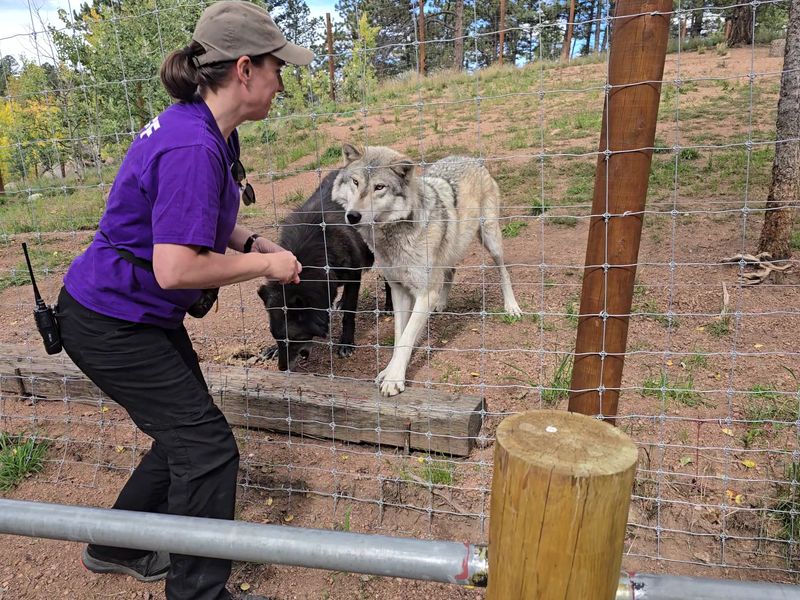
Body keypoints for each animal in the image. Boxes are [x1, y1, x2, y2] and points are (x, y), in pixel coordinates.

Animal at [258, 170, 387, 371]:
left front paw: (346, 343)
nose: (283, 369)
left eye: (294, 338)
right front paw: (273, 350)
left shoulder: (354, 274)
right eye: (276, 336)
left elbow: (349, 313)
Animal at [332, 144, 522, 396]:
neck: (393, 237)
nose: (352, 216)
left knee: (504, 272)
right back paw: (441, 304)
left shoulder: (424, 293)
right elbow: (399, 336)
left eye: (379, 187)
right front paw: (389, 371)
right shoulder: (399, 290)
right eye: (355, 182)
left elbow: (407, 337)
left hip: (491, 241)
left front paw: (394, 379)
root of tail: (467, 157)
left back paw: (511, 306)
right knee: (451, 272)